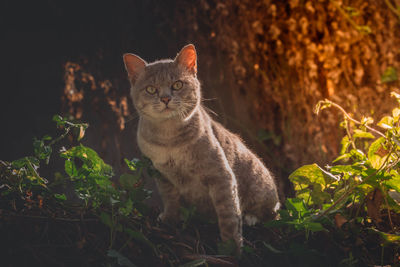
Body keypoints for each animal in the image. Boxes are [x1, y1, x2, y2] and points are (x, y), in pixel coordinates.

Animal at [123, 44, 280, 253]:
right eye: (151, 89)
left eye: (177, 85)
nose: (165, 98)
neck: (169, 139)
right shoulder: (161, 174)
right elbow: (170, 198)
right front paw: (170, 219)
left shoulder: (221, 175)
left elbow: (229, 214)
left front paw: (231, 247)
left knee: (269, 214)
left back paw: (252, 218)